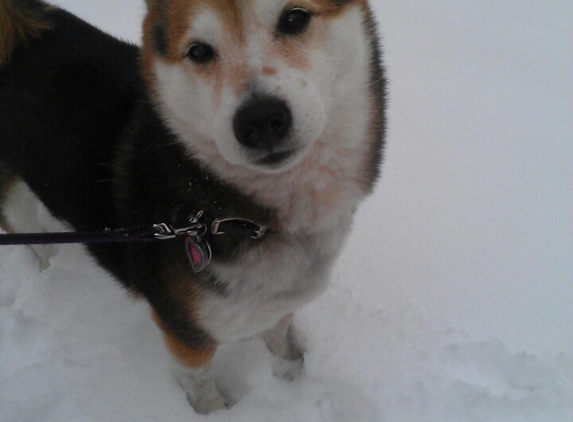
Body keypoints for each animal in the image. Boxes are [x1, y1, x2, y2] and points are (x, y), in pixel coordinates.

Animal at [0, 0, 386, 416]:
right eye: (199, 51)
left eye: (295, 18)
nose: (260, 120)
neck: (233, 217)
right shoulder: (185, 331)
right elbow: (200, 385)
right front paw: (219, 411)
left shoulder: (279, 298)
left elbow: (279, 333)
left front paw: (291, 368)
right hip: (16, 204)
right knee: (31, 239)